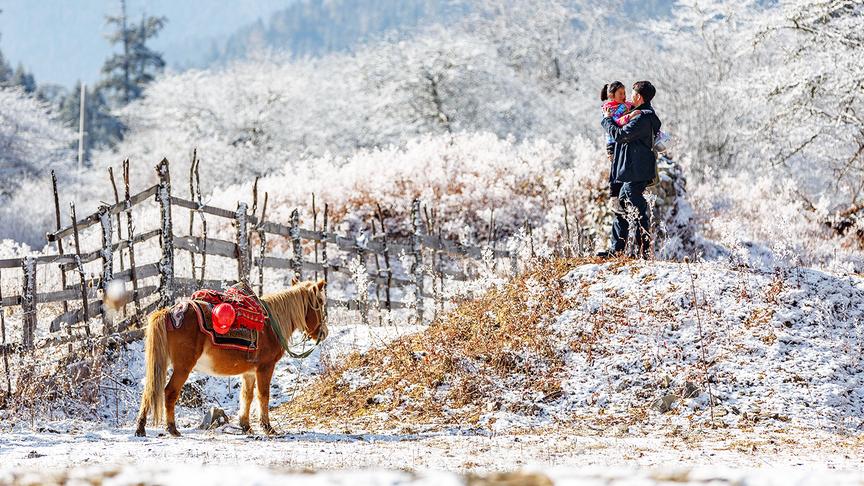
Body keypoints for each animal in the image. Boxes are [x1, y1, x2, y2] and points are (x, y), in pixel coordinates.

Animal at [135, 278, 328, 436]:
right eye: (320, 302)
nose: (324, 333)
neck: (271, 324)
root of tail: (169, 313)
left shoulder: (249, 372)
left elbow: (247, 396)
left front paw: (246, 426)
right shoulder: (265, 367)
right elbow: (263, 395)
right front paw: (267, 428)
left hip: (161, 364)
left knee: (150, 389)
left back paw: (141, 428)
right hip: (183, 367)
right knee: (170, 392)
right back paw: (172, 429)